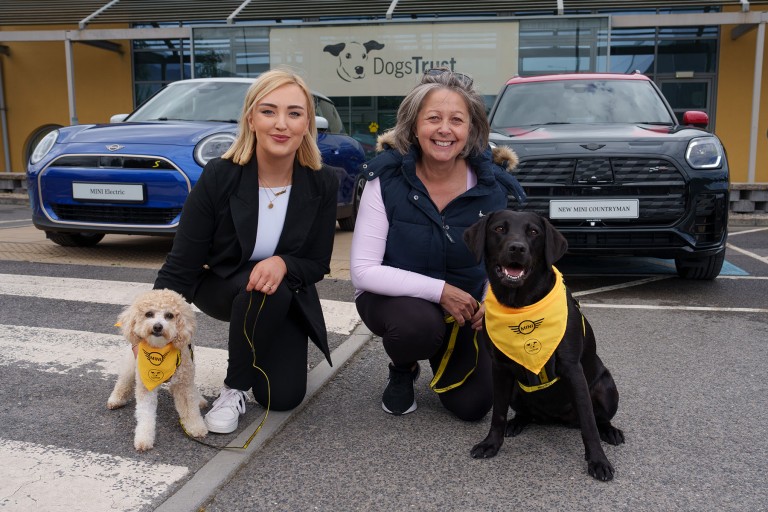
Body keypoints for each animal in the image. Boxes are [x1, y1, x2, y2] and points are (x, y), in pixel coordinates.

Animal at [106, 290, 207, 450]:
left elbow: (190, 409)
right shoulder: (146, 383)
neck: (160, 349)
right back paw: (116, 399)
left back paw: (199, 399)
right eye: (149, 314)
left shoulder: (184, 383)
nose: (158, 327)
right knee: (124, 381)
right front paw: (143, 438)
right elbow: (145, 413)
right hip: (131, 363)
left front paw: (196, 427)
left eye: (169, 315)